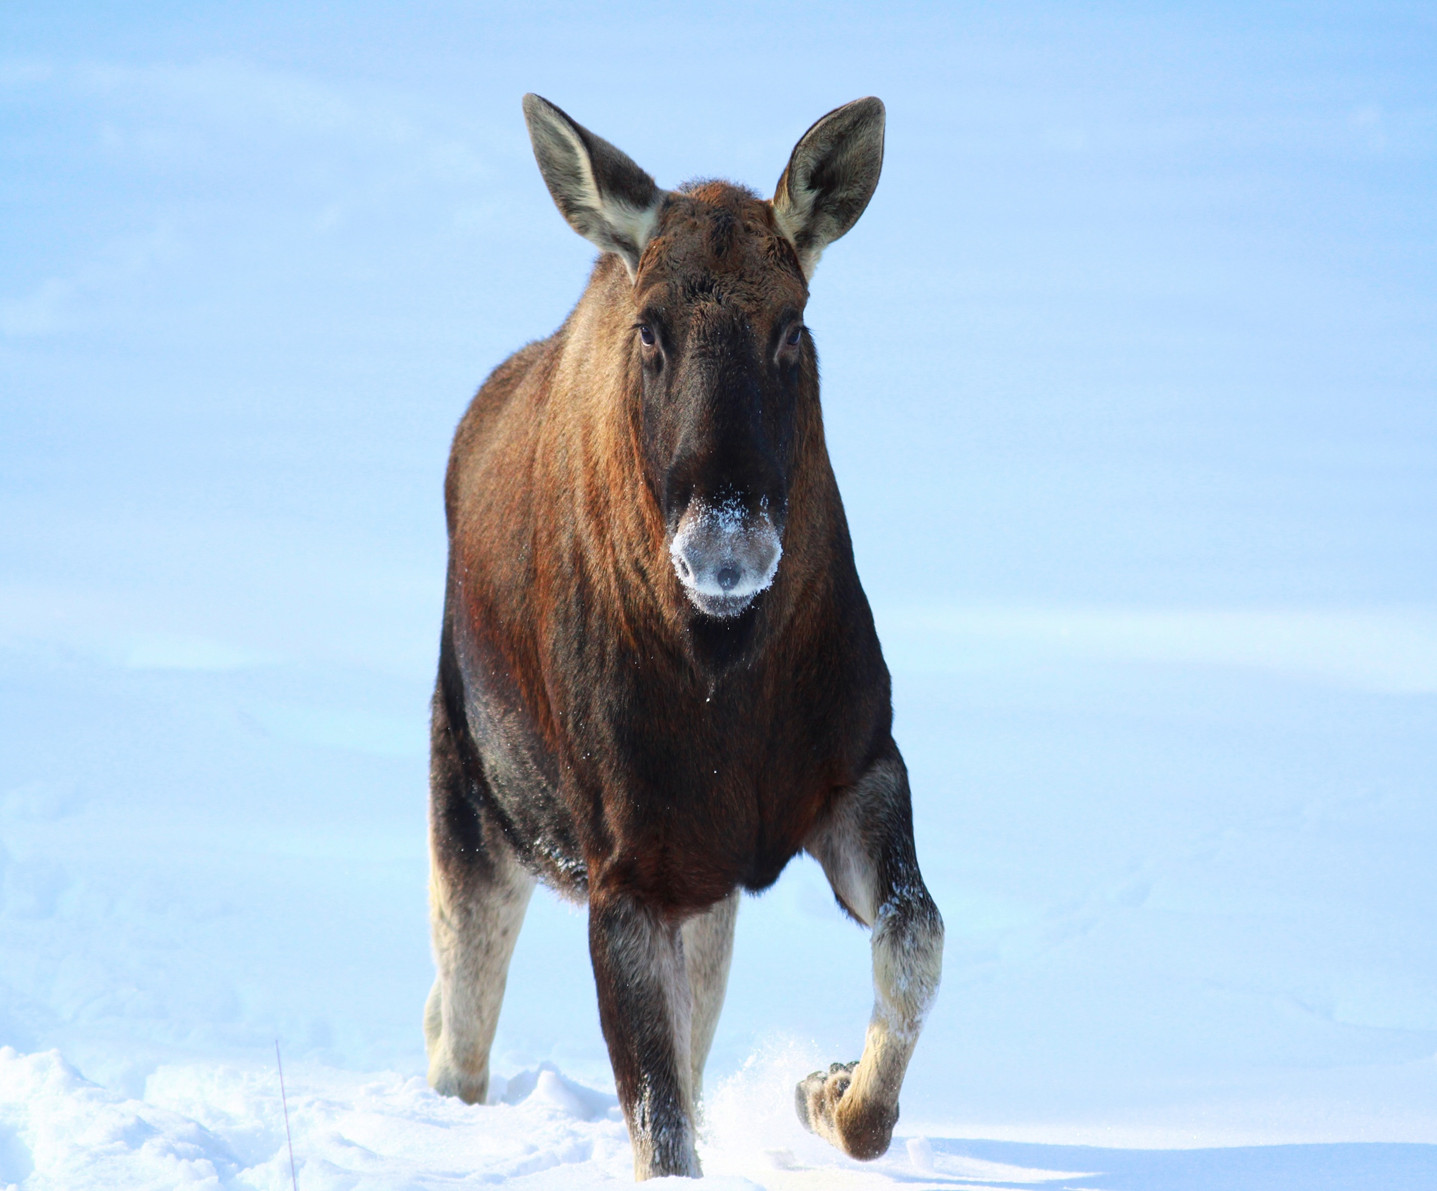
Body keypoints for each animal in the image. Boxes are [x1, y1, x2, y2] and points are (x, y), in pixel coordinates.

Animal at [422, 97, 942, 1178]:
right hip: (474, 814)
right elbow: (661, 1133)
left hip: (701, 892)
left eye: (793, 327)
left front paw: (829, 1091)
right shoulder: (628, 873)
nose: (725, 545)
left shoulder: (856, 770)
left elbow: (918, 940)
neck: (728, 680)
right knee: (454, 1042)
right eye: (650, 331)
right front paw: (824, 1088)